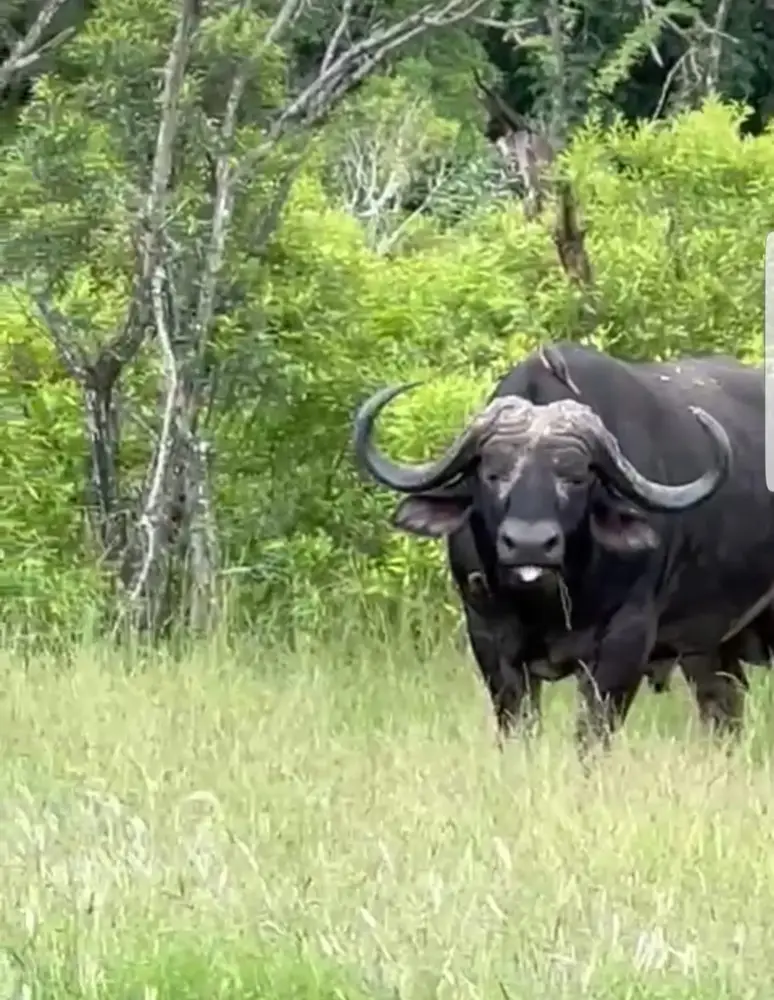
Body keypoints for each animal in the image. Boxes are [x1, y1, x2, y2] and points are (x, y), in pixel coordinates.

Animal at [353, 342, 774, 755]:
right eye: (492, 473)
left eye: (575, 476)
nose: (530, 545)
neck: (545, 603)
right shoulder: (489, 637)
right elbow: (518, 727)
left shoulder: (624, 641)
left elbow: (592, 734)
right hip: (710, 649)